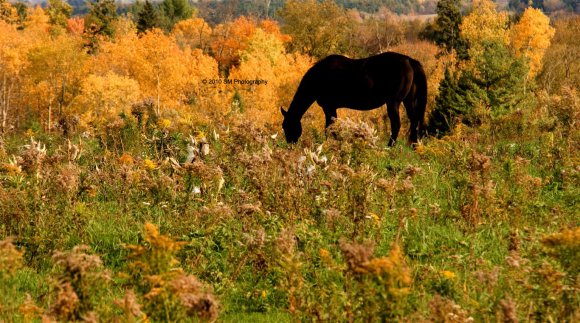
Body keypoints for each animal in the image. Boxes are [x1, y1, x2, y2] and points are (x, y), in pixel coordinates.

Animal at [280, 52, 426, 147]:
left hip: (393, 103)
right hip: (408, 101)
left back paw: (389, 146)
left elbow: (330, 128)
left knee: (396, 125)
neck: (320, 76)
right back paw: (413, 145)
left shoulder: (329, 107)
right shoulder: (331, 108)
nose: (290, 145)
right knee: (414, 121)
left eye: (287, 126)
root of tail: (409, 61)